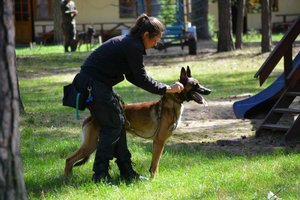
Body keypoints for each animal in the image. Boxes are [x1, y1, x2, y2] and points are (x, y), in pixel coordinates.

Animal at [64, 66, 210, 177]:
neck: (172, 103)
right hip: (91, 144)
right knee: (69, 159)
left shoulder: (157, 142)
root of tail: (91, 117)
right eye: (195, 85)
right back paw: (67, 180)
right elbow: (155, 163)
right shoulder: (159, 141)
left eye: (199, 83)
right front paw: (154, 178)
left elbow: (154, 163)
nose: (209, 91)